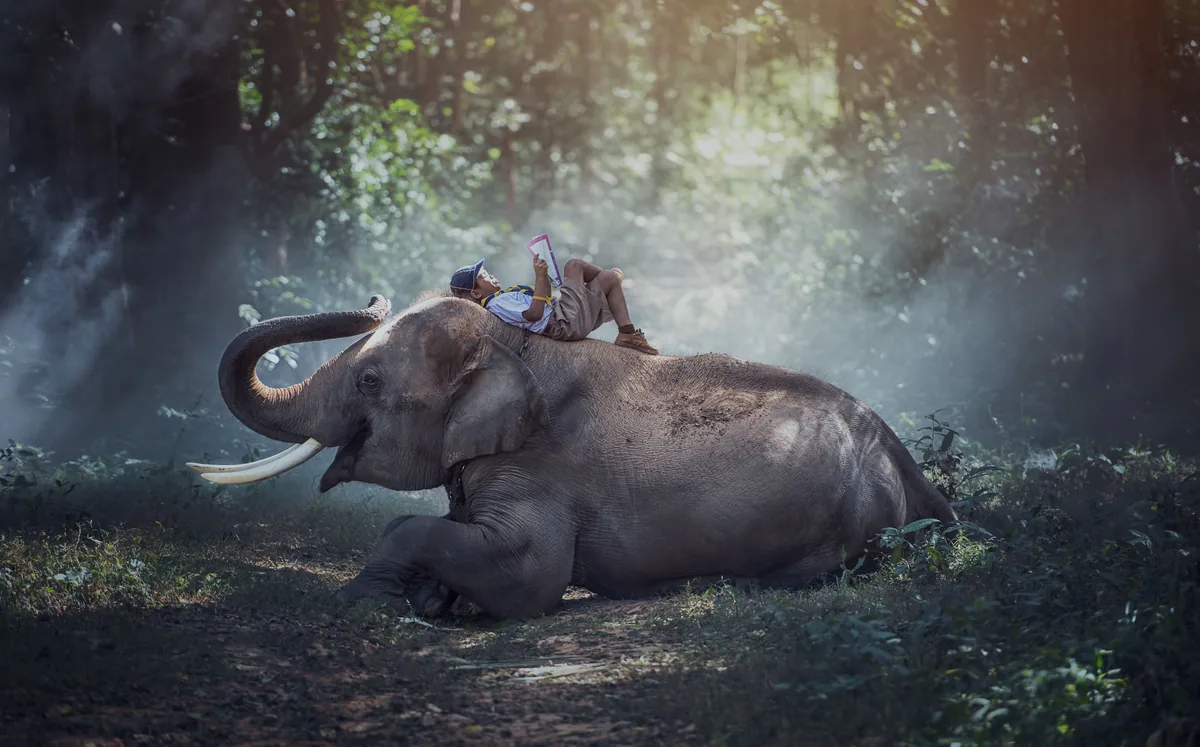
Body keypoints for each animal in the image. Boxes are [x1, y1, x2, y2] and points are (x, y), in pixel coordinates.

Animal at [189, 292, 958, 620]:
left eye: (371, 382)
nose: (373, 300)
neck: (518, 344)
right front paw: (431, 597)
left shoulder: (542, 465)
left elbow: (530, 576)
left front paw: (362, 599)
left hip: (847, 520)